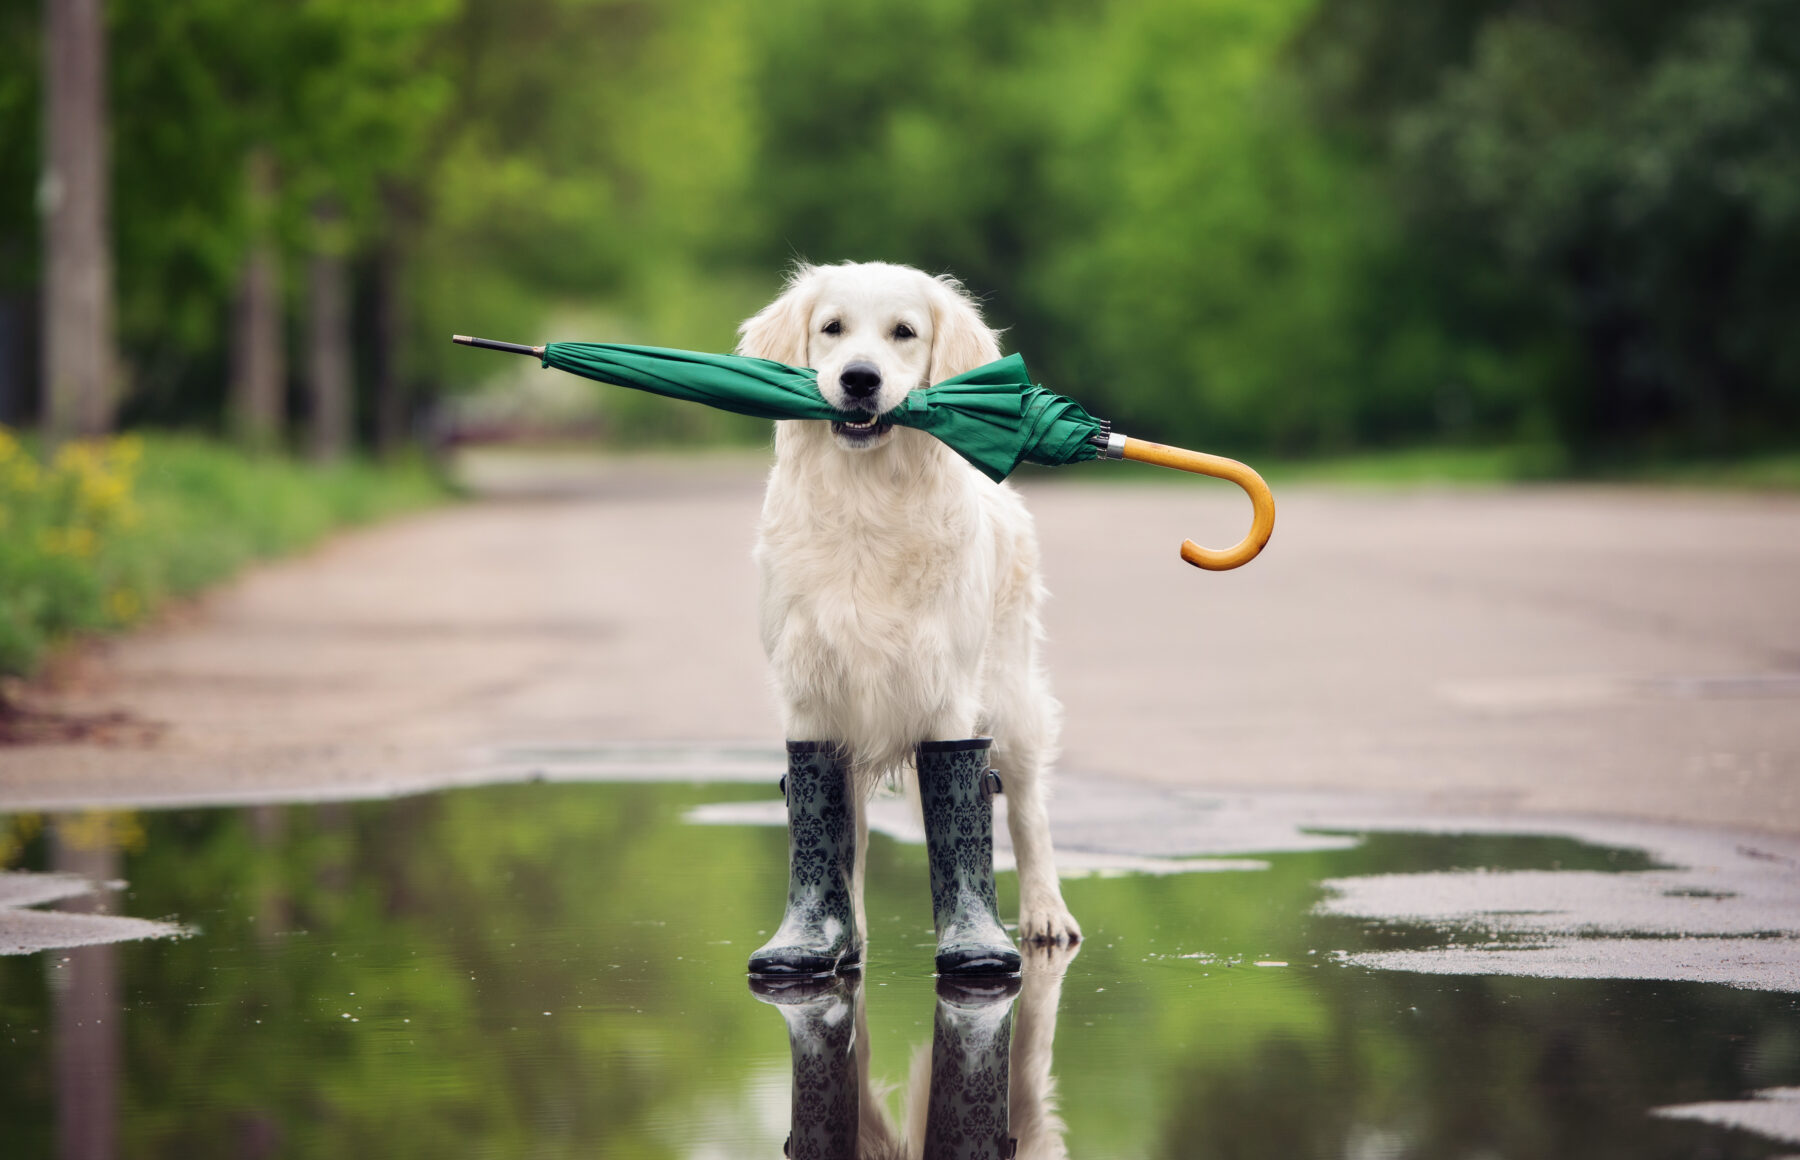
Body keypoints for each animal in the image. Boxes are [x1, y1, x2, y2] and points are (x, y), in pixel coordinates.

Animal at [734, 262, 1072, 951]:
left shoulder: (947, 694)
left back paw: (1045, 913)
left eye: (904, 333)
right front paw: (832, 936)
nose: (859, 379)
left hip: (1010, 693)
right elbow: (836, 831)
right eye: (832, 328)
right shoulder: (811, 695)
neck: (866, 503)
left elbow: (969, 810)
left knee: (1027, 807)